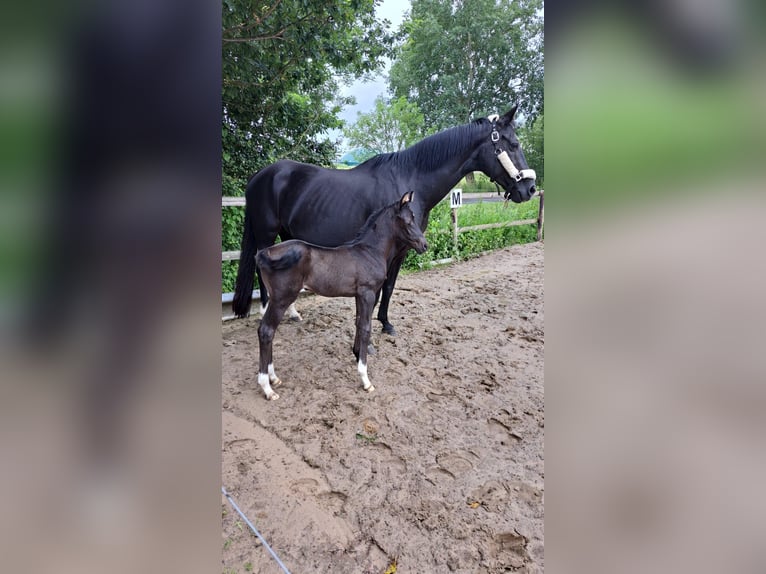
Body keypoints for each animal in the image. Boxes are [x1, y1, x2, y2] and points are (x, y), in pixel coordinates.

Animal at [233, 106, 537, 335]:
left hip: (287, 235)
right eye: (513, 144)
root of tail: (259, 176)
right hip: (266, 234)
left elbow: (389, 287)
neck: (410, 179)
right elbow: (383, 287)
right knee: (262, 271)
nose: (530, 189)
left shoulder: (401, 249)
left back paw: (294, 313)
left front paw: (386, 323)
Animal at [254, 191, 428, 400]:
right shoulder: (368, 293)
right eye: (408, 221)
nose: (424, 245)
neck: (370, 251)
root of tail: (264, 252)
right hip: (281, 298)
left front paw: (357, 355)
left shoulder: (359, 295)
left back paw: (274, 378)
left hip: (276, 298)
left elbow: (359, 323)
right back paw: (267, 387)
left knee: (267, 331)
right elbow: (366, 328)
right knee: (266, 331)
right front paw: (365, 379)